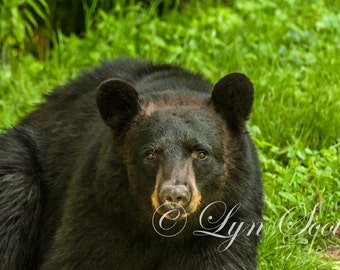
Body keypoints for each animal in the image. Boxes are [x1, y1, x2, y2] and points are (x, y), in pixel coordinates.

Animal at [0, 58, 264, 268]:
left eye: (201, 153)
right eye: (150, 154)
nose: (175, 195)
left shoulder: (228, 221)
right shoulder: (100, 208)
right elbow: (76, 257)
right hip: (18, 161)